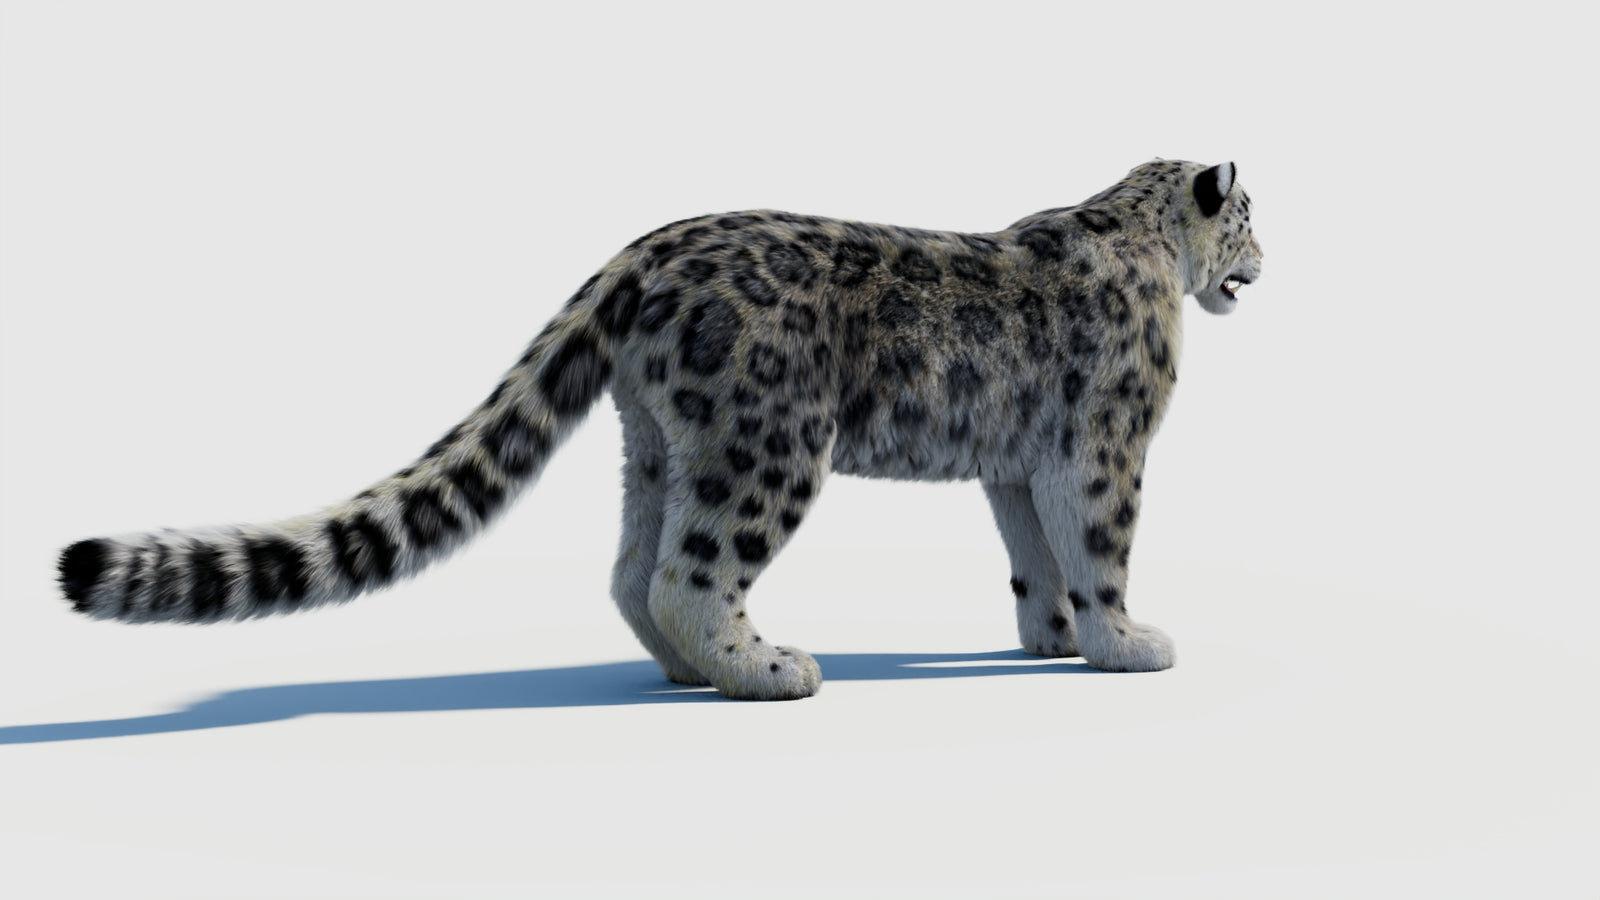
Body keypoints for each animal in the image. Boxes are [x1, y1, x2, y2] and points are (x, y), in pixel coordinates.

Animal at [57, 159, 1263, 700]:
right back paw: (766, 667)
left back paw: (690, 671)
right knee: (695, 569)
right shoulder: (1105, 445)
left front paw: (1049, 637)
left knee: (636, 569)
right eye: (1252, 217)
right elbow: (1096, 546)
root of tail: (641, 251)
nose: (1268, 262)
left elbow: (1031, 555)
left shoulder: (1016, 463)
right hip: (770, 443)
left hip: (664, 444)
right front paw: (1127, 643)